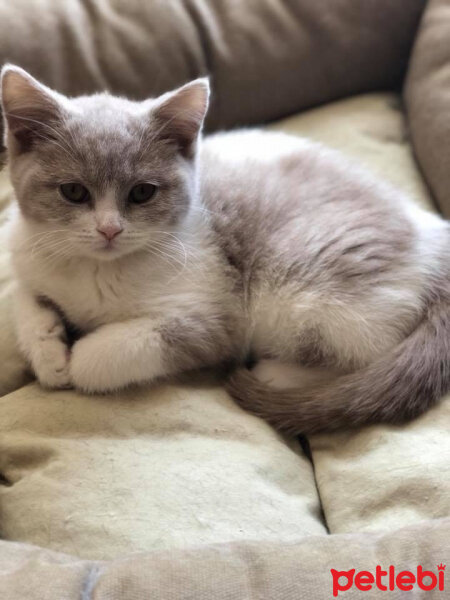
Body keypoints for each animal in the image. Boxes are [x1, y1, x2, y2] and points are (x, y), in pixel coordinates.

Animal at [1, 64, 448, 432]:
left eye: (142, 193)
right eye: (74, 192)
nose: (109, 230)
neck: (97, 270)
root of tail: (434, 234)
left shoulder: (218, 313)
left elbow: (122, 350)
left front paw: (79, 360)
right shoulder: (25, 255)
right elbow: (24, 300)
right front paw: (49, 353)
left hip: (300, 290)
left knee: (366, 352)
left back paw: (279, 375)